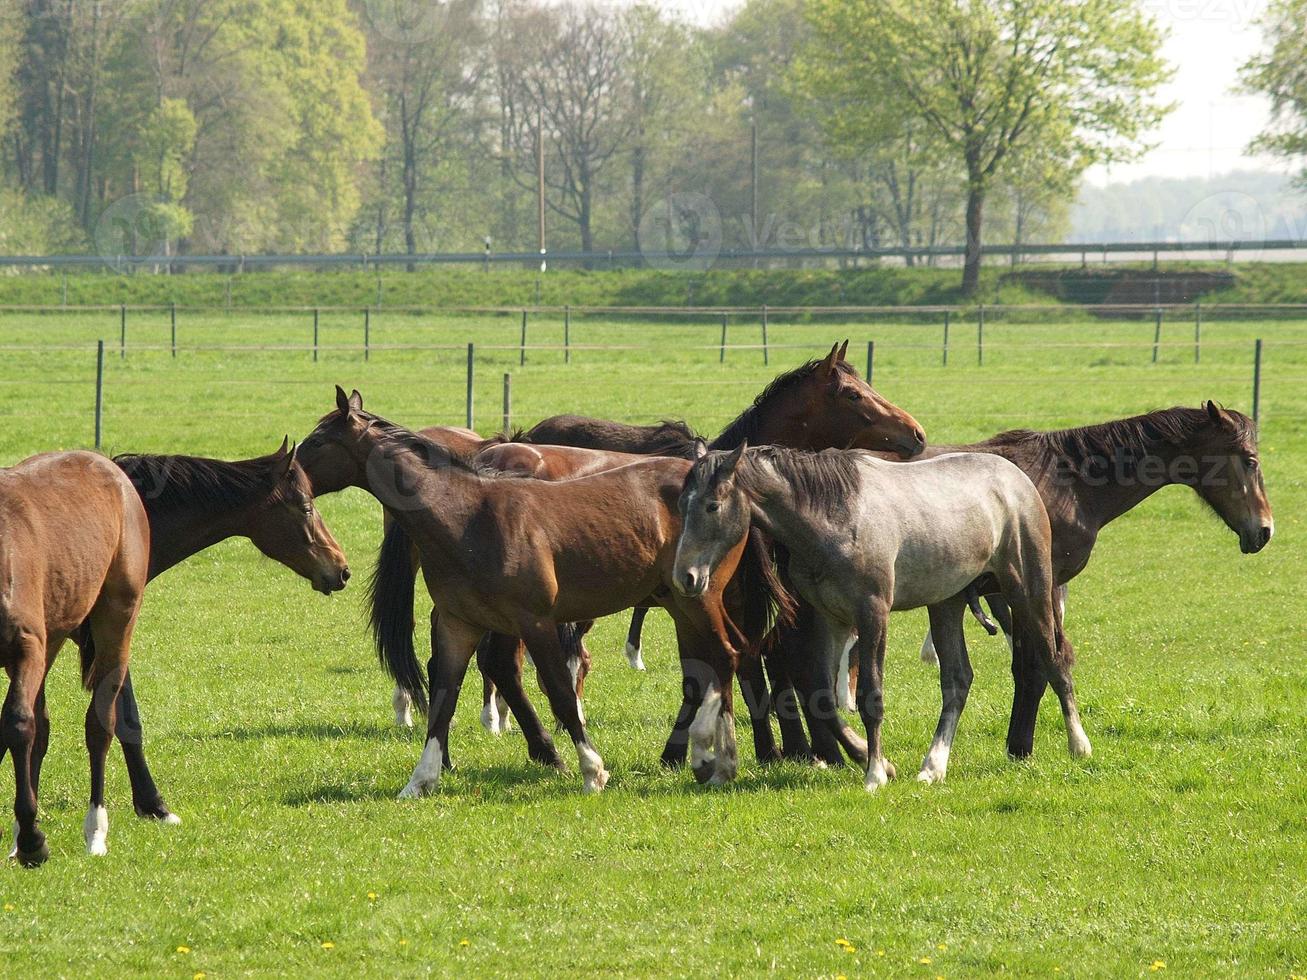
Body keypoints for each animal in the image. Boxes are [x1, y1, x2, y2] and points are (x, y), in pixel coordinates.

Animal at [0, 452, 149, 867]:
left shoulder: (26, 645)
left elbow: (16, 724)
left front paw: (34, 840)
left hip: (116, 617)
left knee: (99, 724)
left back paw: (94, 830)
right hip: (52, 632)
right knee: (41, 727)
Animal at [294, 386, 784, 794]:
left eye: (317, 442)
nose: (289, 477)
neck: (467, 516)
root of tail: (730, 487)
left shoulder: (537, 623)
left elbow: (562, 695)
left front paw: (591, 771)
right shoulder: (458, 625)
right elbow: (443, 699)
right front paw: (421, 780)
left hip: (697, 597)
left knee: (725, 657)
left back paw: (712, 756)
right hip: (681, 603)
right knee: (719, 661)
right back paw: (716, 761)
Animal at [674, 449, 1082, 794]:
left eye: (712, 505)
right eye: (681, 504)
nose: (686, 577)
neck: (834, 517)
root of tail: (1017, 479)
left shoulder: (872, 615)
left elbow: (870, 694)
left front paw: (874, 774)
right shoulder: (830, 620)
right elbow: (821, 696)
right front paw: (872, 759)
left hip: (1028, 590)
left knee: (1054, 658)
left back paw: (1079, 744)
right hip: (946, 604)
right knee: (957, 680)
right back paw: (933, 767)